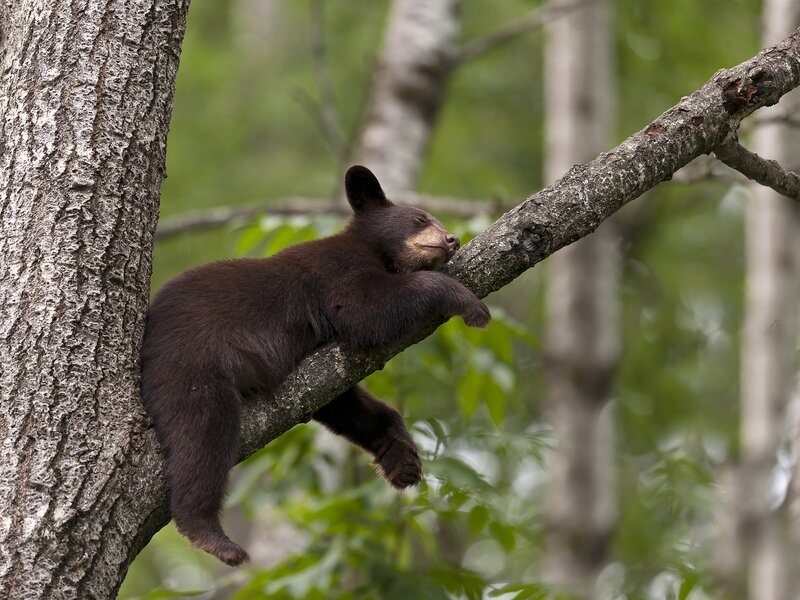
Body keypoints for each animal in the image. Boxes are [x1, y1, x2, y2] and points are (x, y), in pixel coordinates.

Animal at [140, 165, 491, 566]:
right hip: (190, 364)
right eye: (420, 219)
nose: (452, 239)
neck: (375, 251)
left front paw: (401, 458)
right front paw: (468, 302)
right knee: (203, 435)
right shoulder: (335, 271)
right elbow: (364, 309)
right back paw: (212, 535)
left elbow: (341, 400)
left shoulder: (320, 364)